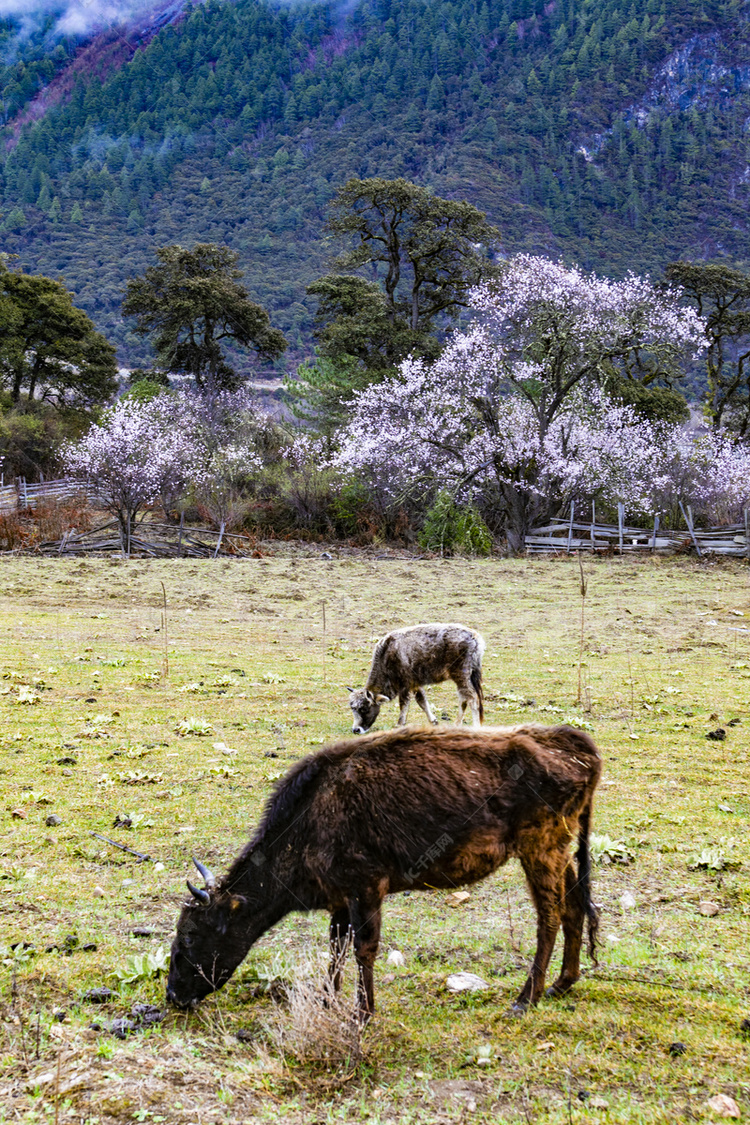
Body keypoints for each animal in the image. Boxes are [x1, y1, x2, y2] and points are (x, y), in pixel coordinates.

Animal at [167, 724, 602, 1026]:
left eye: (189, 935)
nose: (173, 996)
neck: (312, 814)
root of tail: (574, 743)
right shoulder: (341, 898)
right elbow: (336, 947)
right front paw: (327, 999)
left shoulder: (367, 888)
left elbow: (364, 949)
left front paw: (363, 1014)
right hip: (561, 853)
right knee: (574, 906)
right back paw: (563, 983)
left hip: (539, 850)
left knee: (549, 917)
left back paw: (526, 998)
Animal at [348, 621, 488, 733]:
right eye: (352, 708)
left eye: (364, 709)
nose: (356, 730)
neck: (387, 654)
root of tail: (474, 637)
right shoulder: (415, 684)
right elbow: (422, 701)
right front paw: (433, 721)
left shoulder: (405, 686)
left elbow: (404, 704)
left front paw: (399, 724)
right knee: (464, 699)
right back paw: (457, 724)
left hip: (462, 676)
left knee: (471, 699)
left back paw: (475, 727)